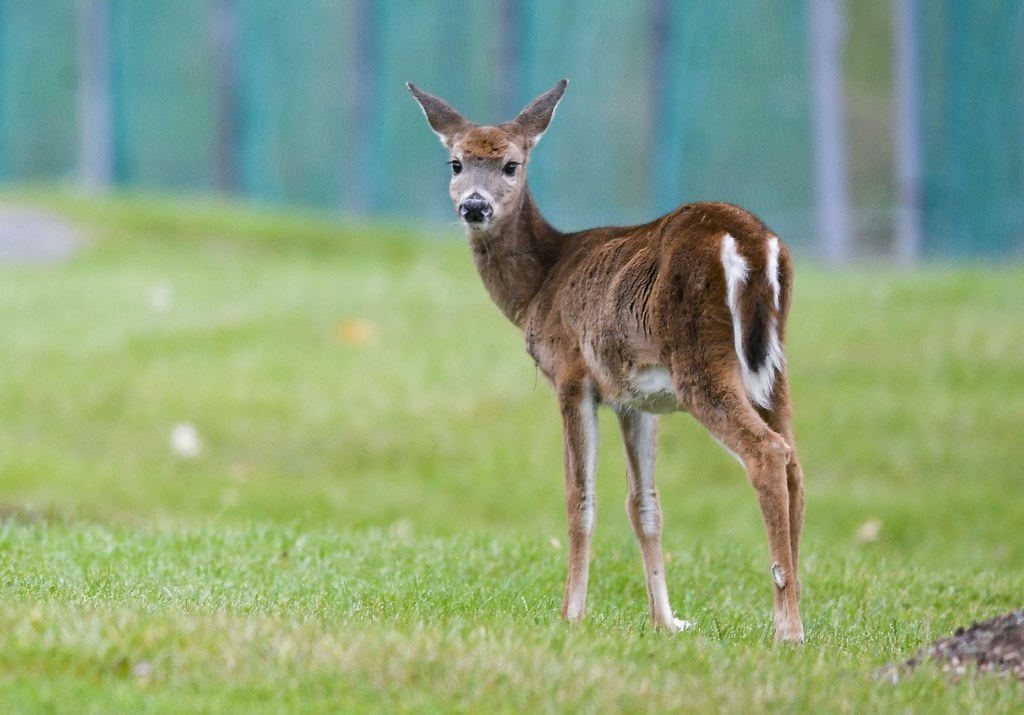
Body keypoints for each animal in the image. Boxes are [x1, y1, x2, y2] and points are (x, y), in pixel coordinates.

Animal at [407, 77, 806, 639]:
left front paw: (569, 614)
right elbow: (645, 505)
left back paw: (786, 628)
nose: (475, 207)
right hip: (773, 366)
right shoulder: (633, 397)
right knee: (795, 462)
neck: (541, 286)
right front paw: (666, 621)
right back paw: (799, 611)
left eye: (511, 164)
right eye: (456, 163)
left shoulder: (572, 373)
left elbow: (579, 498)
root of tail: (752, 244)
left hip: (700, 359)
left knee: (768, 454)